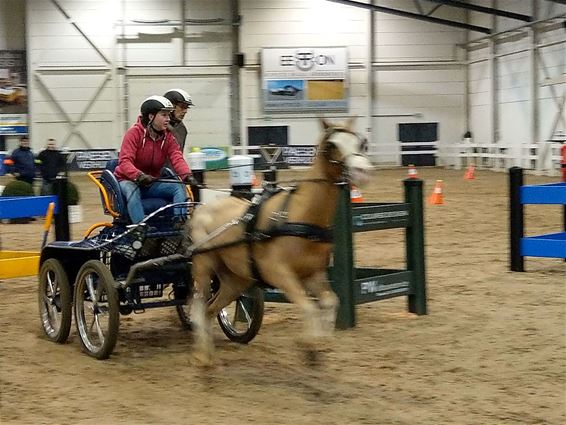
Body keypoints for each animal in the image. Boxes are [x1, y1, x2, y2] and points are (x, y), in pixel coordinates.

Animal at [190, 117, 372, 364]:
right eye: (331, 145)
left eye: (360, 142)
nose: (363, 171)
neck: (299, 215)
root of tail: (201, 208)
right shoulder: (278, 272)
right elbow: (308, 307)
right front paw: (309, 346)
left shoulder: (314, 274)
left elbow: (330, 301)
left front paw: (320, 344)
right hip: (203, 266)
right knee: (199, 307)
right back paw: (201, 356)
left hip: (235, 280)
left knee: (210, 310)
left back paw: (207, 355)